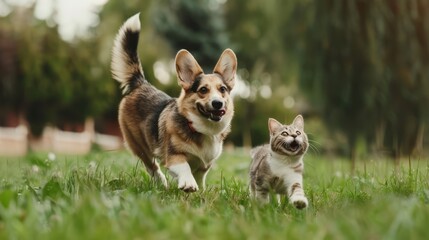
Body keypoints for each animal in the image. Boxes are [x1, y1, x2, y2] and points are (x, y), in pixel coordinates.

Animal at [110, 14, 237, 192]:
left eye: (223, 89)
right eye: (203, 90)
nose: (217, 103)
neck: (202, 129)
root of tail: (140, 82)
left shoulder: (204, 165)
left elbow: (200, 177)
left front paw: (200, 191)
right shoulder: (173, 156)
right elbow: (184, 167)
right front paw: (188, 184)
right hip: (140, 146)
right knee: (152, 166)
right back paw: (161, 182)